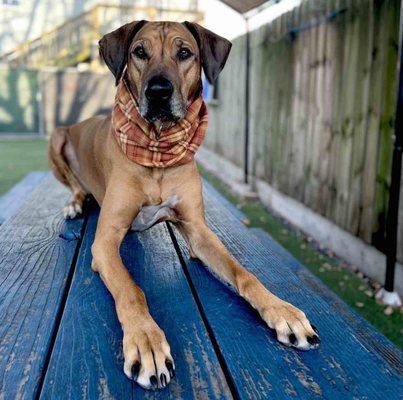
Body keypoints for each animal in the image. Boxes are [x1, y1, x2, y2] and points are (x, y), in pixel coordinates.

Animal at [48, 20, 318, 390]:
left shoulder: (199, 231)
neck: (157, 152)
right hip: (57, 138)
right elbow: (131, 290)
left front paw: (282, 310)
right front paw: (146, 340)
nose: (158, 92)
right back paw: (76, 202)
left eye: (185, 53)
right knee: (74, 183)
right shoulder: (105, 242)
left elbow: (243, 273)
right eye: (139, 52)